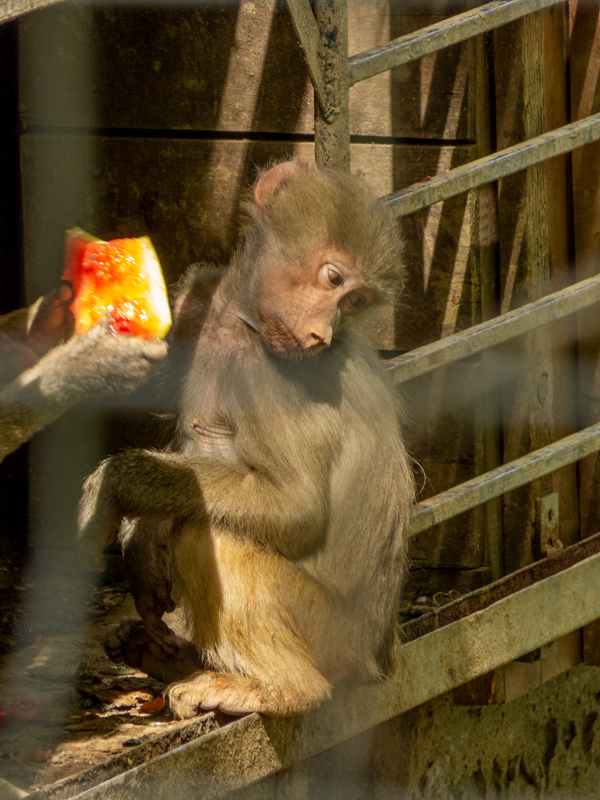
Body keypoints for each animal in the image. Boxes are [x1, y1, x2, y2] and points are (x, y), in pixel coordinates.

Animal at [78, 159, 415, 718]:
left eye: (355, 301)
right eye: (335, 280)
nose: (322, 335)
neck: (239, 319)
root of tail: (382, 655)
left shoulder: (273, 377)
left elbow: (297, 511)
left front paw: (120, 484)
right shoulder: (195, 301)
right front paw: (143, 538)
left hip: (331, 638)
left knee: (211, 535)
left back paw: (279, 689)